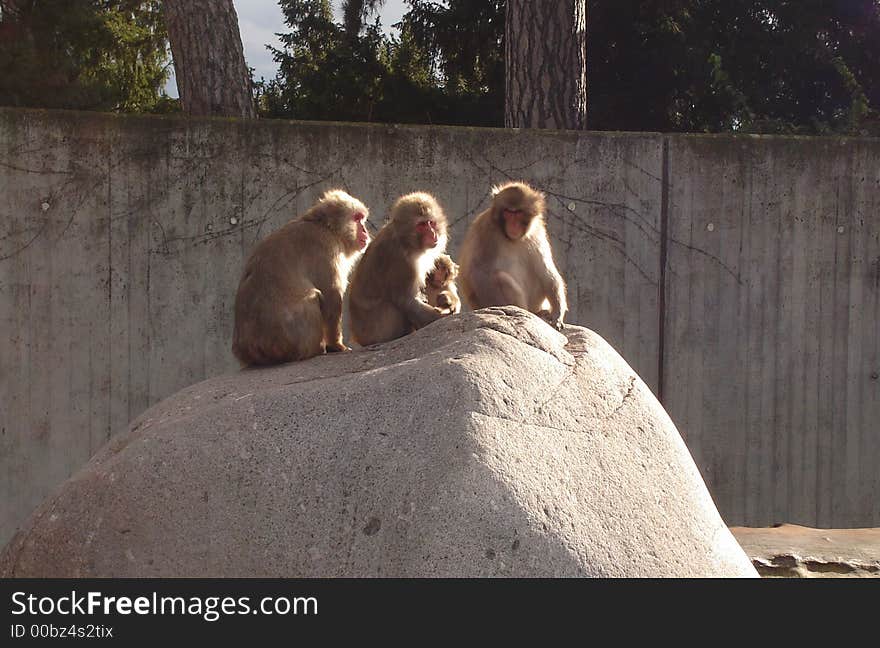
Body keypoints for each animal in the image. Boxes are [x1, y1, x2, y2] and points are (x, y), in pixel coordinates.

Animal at [229, 190, 370, 368]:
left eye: (362, 219)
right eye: (357, 218)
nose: (365, 230)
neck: (326, 228)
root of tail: (251, 350)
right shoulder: (327, 250)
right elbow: (331, 298)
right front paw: (337, 346)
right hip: (294, 341)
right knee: (313, 299)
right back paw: (318, 349)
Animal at [348, 191, 450, 346]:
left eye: (431, 223)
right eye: (421, 225)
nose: (433, 234)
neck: (406, 242)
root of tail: (359, 338)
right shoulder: (401, 261)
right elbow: (406, 300)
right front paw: (441, 317)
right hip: (376, 332)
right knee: (392, 306)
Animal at [458, 181, 568, 330]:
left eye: (518, 213)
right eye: (508, 212)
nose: (513, 225)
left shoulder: (537, 232)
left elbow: (546, 273)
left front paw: (557, 314)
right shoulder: (486, 230)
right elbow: (479, 272)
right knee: (499, 278)